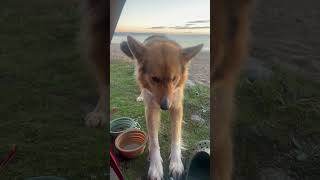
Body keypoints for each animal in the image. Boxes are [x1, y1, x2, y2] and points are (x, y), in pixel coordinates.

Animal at [120, 34, 202, 179]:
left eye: (174, 79)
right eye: (155, 79)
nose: (165, 106)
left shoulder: (176, 107)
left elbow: (176, 136)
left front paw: (176, 162)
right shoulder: (151, 110)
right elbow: (154, 142)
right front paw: (155, 166)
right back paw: (141, 96)